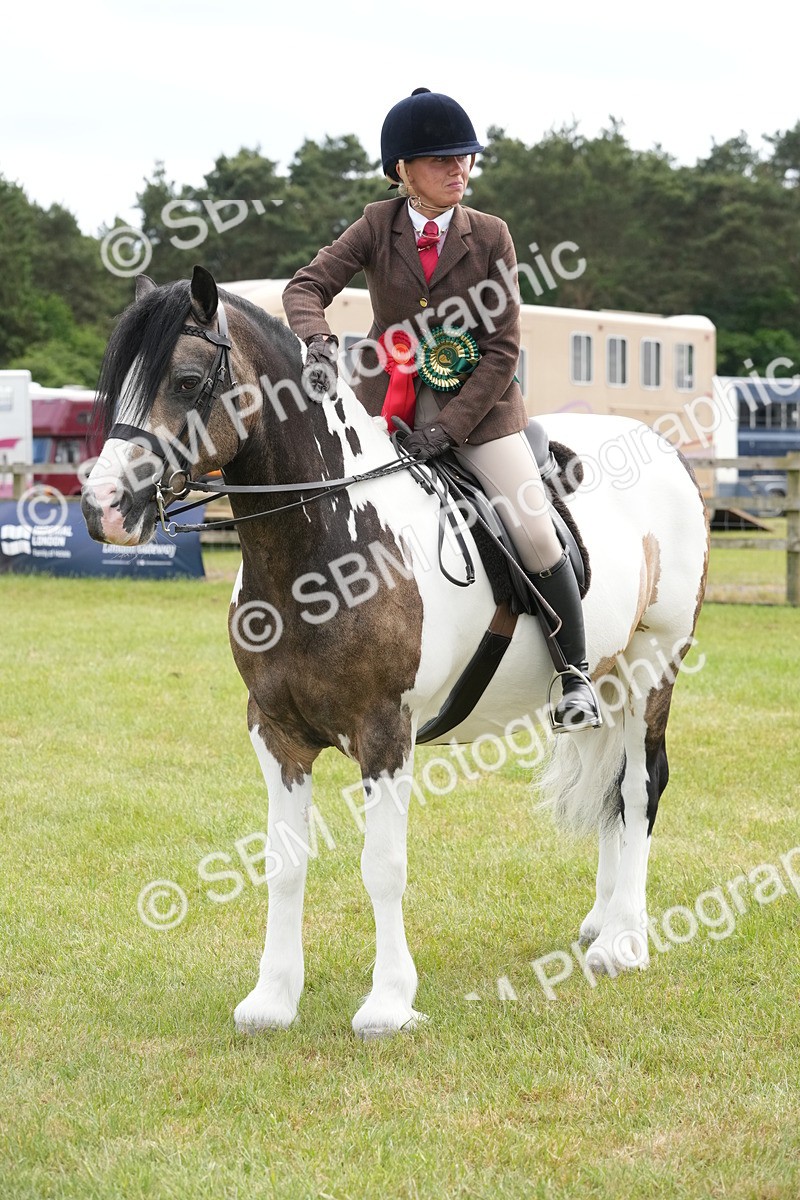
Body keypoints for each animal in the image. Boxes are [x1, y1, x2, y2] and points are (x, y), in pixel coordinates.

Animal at [81, 266, 709, 1038]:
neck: (324, 547)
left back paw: (625, 942)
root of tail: (661, 447)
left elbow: (382, 866)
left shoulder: (385, 730)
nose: (103, 508)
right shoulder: (275, 730)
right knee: (613, 793)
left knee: (641, 785)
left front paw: (387, 1004)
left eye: (190, 380)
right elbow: (283, 862)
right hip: (611, 679)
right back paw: (601, 922)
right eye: (117, 382)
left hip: (655, 666)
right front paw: (272, 998)